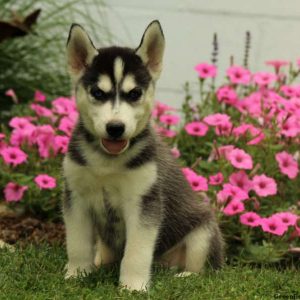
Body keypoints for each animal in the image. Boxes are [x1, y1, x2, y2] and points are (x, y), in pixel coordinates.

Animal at [62, 20, 223, 290]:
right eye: (98, 93)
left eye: (135, 93)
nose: (115, 128)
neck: (107, 162)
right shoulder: (76, 197)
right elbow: (77, 245)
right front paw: (76, 274)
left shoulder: (143, 203)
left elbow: (136, 253)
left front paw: (133, 287)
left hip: (203, 232)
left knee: (205, 270)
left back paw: (186, 275)